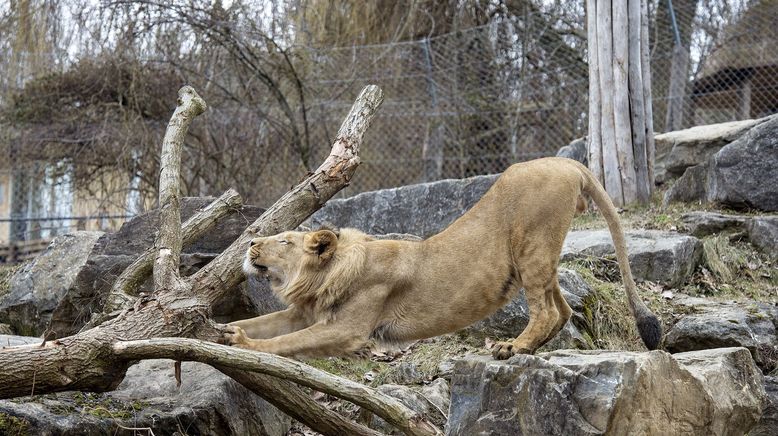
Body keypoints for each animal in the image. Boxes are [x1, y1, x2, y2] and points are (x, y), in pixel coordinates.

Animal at [223, 156, 660, 358]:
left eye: (284, 241)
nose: (251, 242)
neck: (327, 276)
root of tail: (565, 160)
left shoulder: (349, 328)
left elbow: (290, 342)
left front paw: (244, 344)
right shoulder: (304, 312)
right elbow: (270, 323)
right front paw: (227, 328)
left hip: (531, 247)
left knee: (548, 310)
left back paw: (513, 347)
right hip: (539, 257)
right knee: (565, 310)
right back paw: (529, 348)